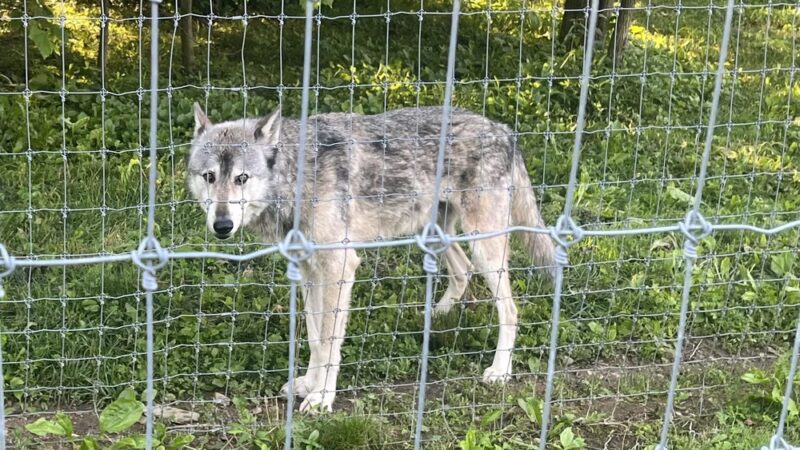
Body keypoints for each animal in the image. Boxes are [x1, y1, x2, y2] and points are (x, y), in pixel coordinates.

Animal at [187, 103, 555, 412]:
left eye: (241, 178)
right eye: (209, 177)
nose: (222, 225)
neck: (297, 176)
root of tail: (503, 129)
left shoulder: (340, 267)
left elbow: (330, 341)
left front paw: (322, 399)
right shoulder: (308, 270)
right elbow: (316, 338)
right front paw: (307, 384)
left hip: (483, 247)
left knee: (510, 309)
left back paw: (499, 370)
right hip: (434, 234)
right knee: (462, 271)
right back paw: (436, 317)